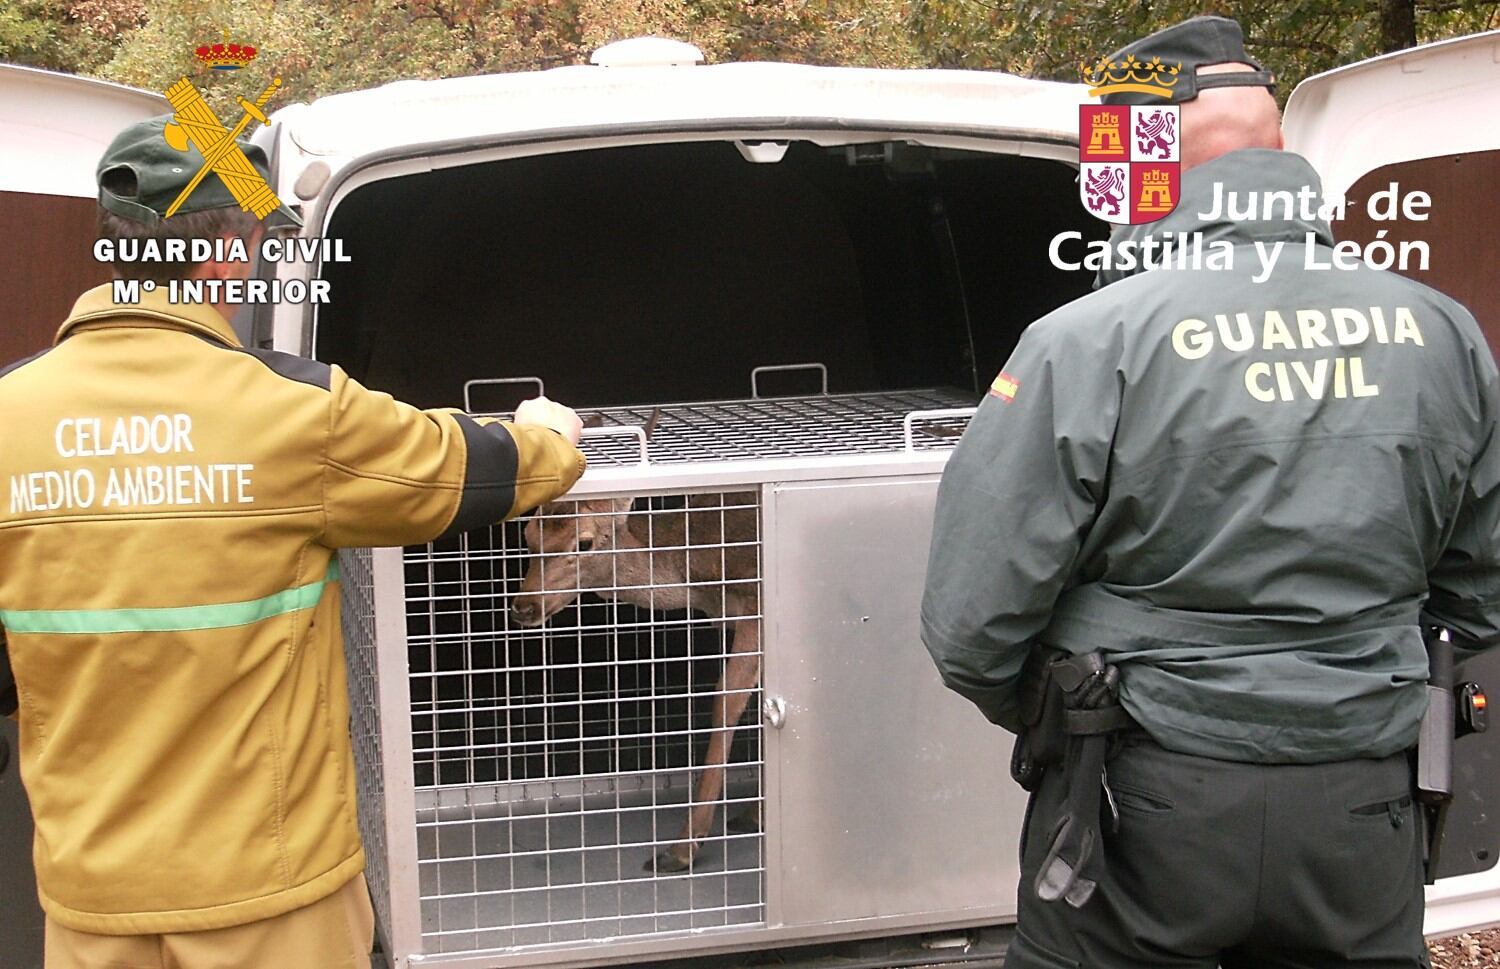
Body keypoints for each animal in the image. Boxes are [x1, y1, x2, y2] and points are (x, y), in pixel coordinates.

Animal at [510, 489, 762, 876]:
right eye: (528, 537)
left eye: (584, 542)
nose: (523, 606)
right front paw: (755, 813)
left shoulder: (753, 600)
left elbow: (728, 702)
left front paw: (682, 848)